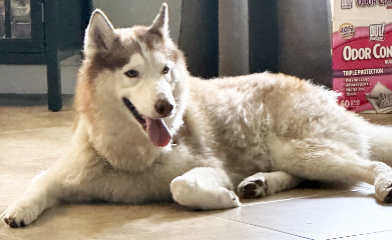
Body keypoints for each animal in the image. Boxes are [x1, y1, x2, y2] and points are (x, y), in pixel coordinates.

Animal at [2, 3, 392, 228]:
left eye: (165, 70)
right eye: (132, 73)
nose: (167, 107)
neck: (130, 157)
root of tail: (322, 92)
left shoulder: (210, 166)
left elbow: (181, 185)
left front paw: (222, 199)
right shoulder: (69, 169)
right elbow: (39, 183)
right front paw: (19, 209)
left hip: (302, 149)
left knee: (370, 164)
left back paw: (383, 185)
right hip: (296, 155)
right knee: (301, 175)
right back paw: (259, 182)